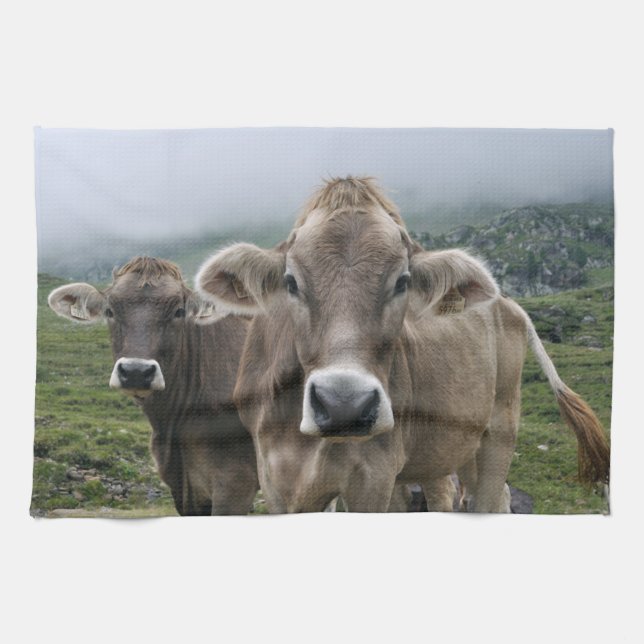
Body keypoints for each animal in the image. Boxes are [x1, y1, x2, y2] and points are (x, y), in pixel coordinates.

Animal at [195, 177, 610, 513]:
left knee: (491, 497)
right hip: (454, 444)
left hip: (500, 424)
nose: (344, 405)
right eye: (291, 282)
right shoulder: (274, 477)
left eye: (403, 281)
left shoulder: (373, 477)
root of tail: (507, 303)